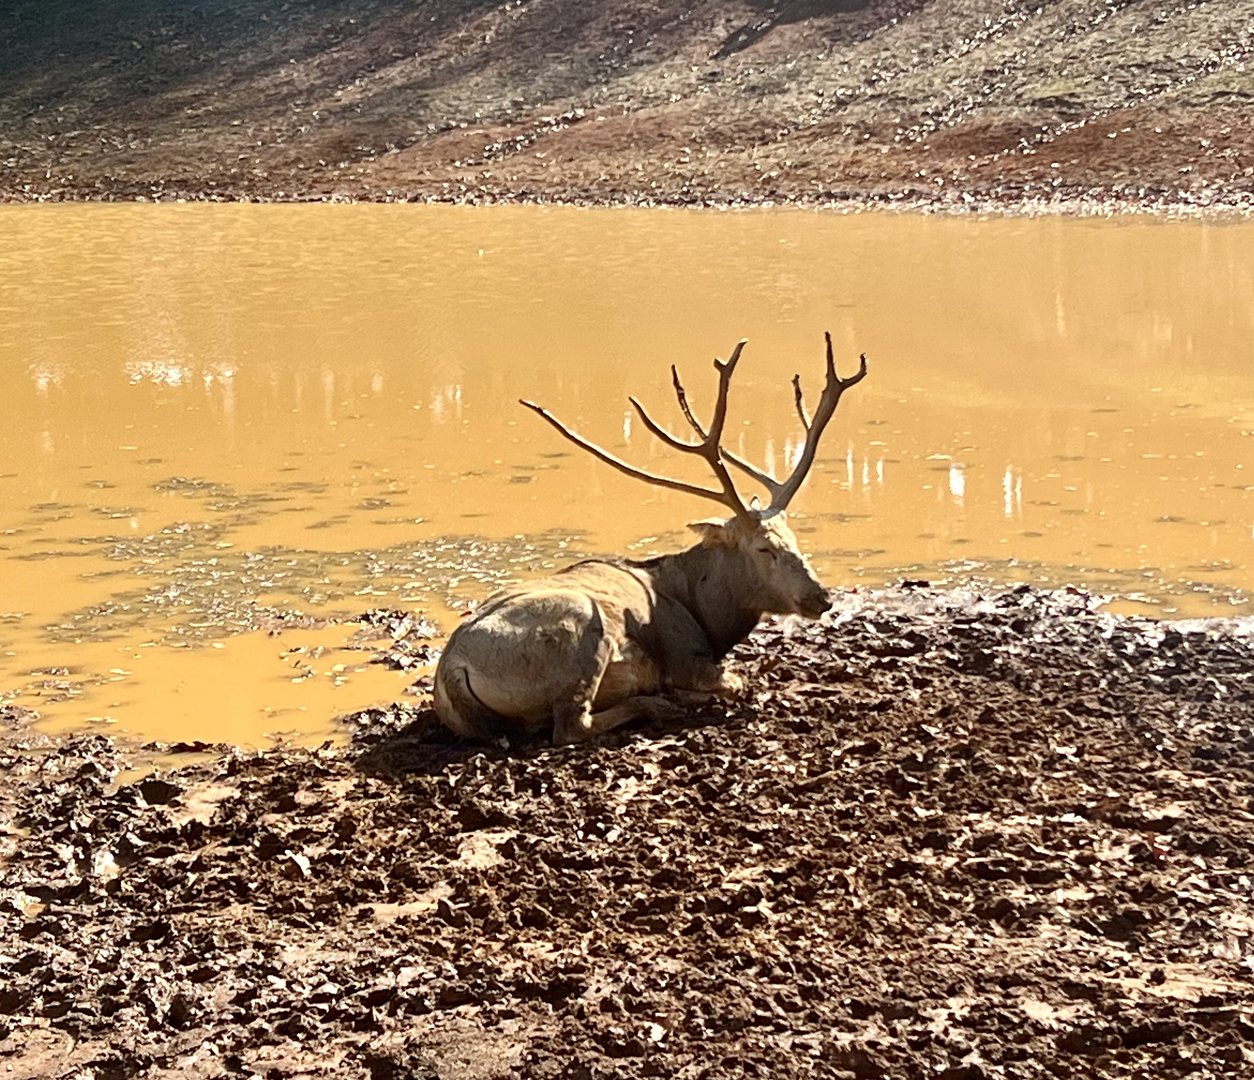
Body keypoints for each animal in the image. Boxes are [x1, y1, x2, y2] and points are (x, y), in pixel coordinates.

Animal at [432, 333, 867, 745]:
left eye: (794, 537)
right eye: (764, 548)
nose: (821, 597)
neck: (705, 613)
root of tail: (452, 670)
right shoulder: (687, 657)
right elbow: (733, 680)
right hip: (581, 626)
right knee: (570, 726)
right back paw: (657, 703)